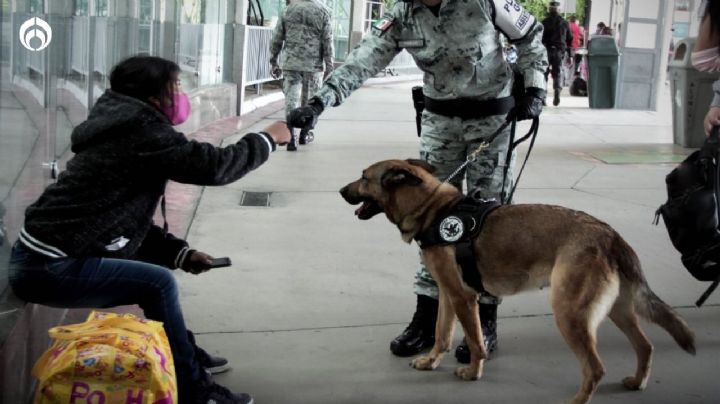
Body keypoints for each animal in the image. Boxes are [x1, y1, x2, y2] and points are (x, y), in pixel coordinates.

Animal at [340, 159, 696, 404]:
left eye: (363, 177)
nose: (341, 191)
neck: (432, 209)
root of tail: (609, 234)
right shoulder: (448, 296)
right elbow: (441, 335)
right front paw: (431, 362)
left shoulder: (463, 299)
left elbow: (475, 342)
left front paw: (473, 373)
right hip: (617, 311)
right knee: (645, 346)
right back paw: (637, 382)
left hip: (570, 315)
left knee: (595, 368)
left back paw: (578, 400)